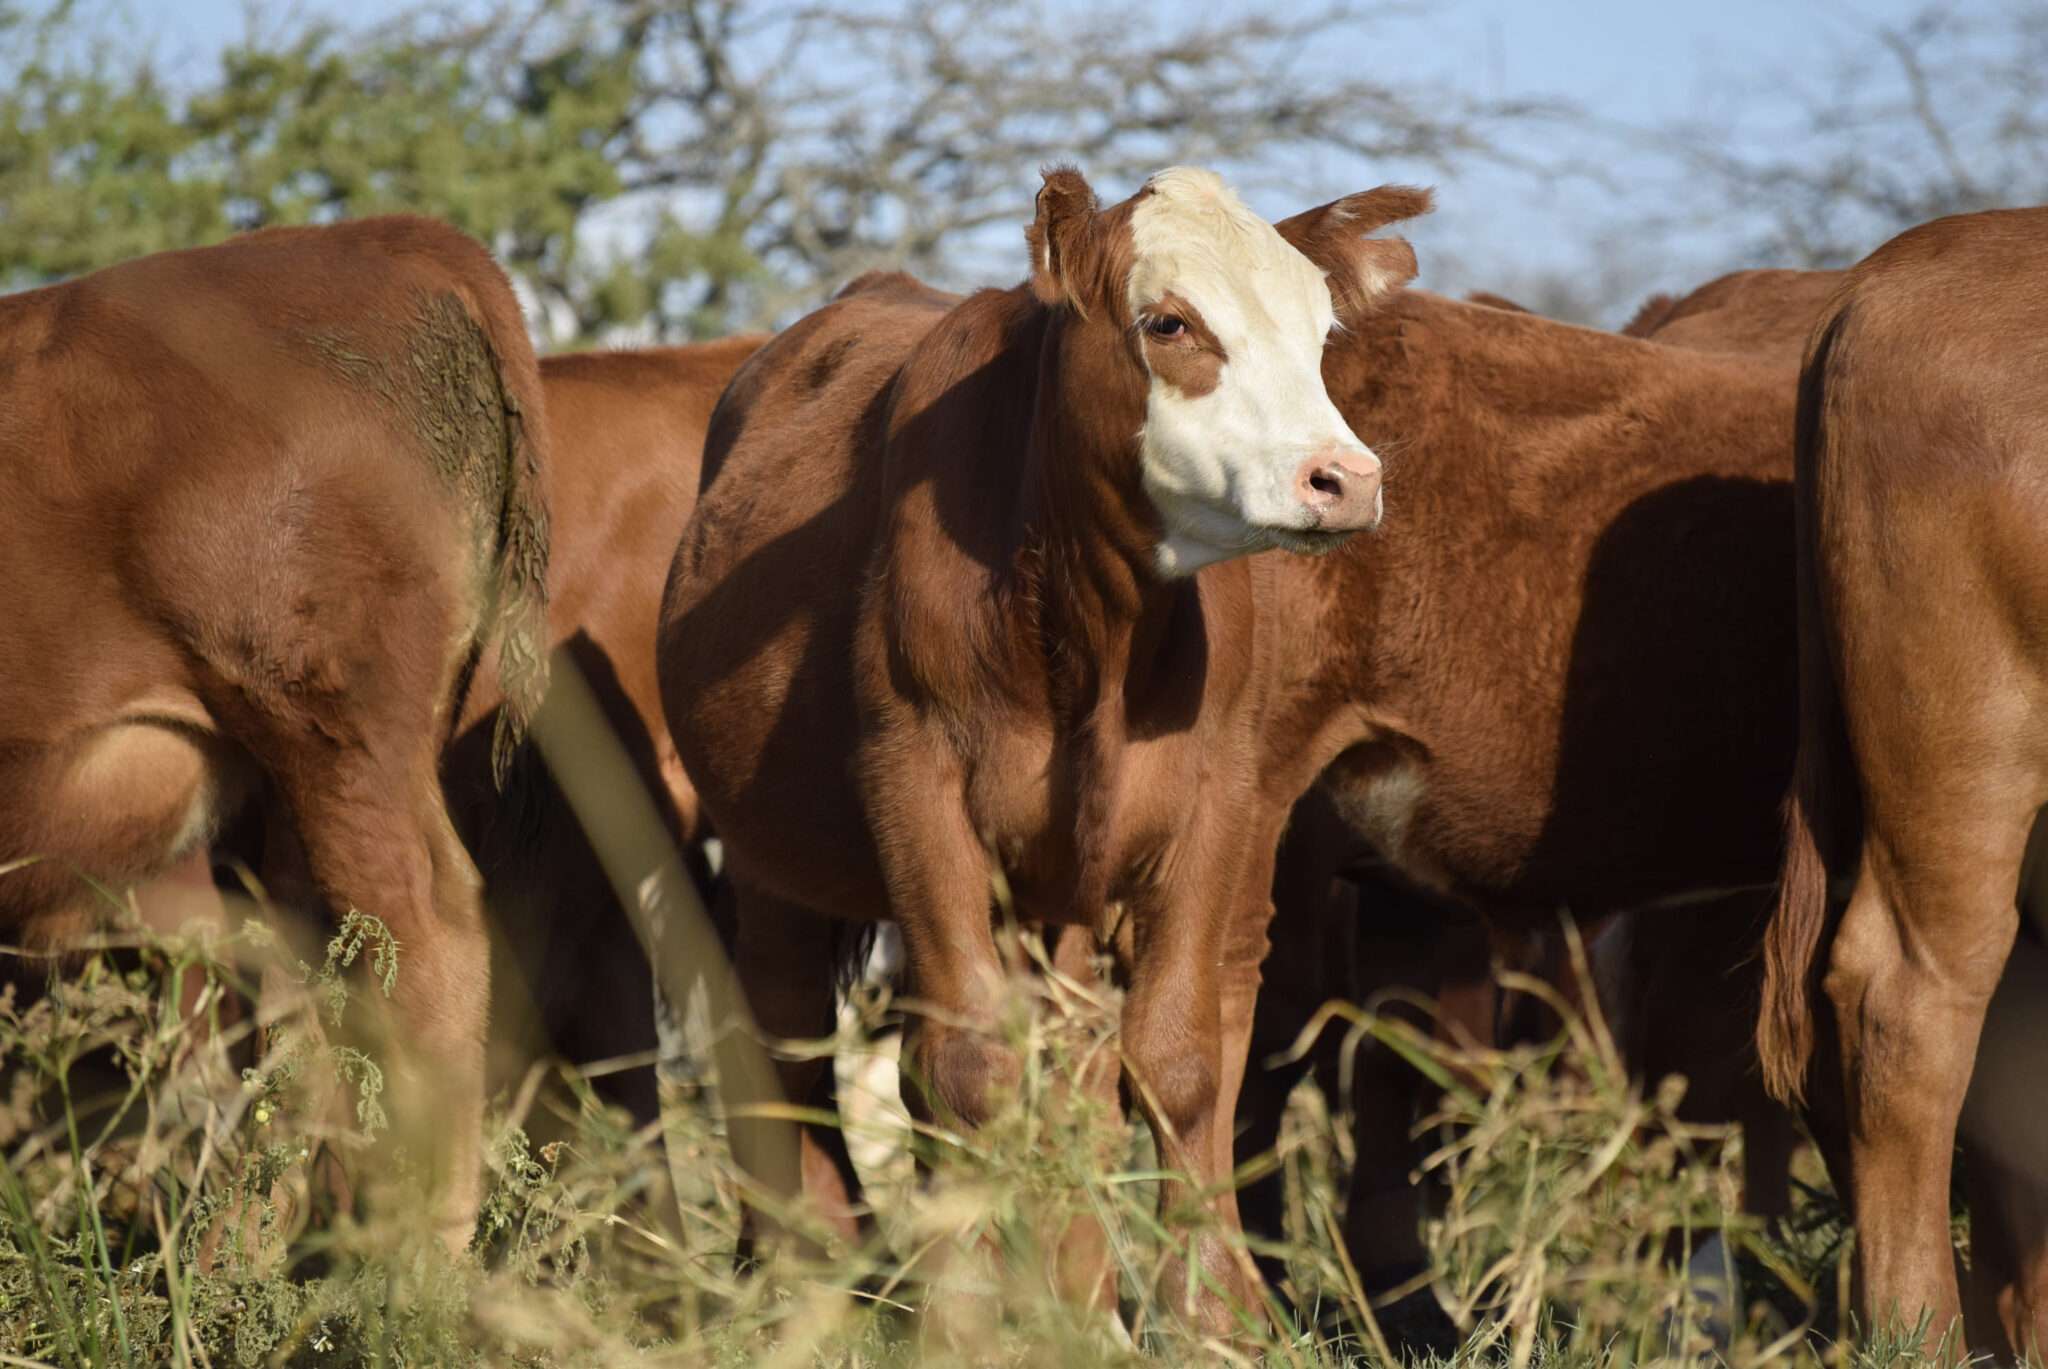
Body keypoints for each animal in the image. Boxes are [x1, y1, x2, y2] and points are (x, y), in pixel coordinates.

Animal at [0, 216, 550, 1251]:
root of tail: (383, 240)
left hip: (333, 733)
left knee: (427, 939)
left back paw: (413, 1264)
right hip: (299, 783)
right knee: (311, 992)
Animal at [657, 165, 1430, 1328]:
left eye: (1321, 329)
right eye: (1169, 322)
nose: (1343, 476)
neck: (1096, 635)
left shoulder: (1214, 803)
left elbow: (1176, 1058)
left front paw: (1204, 1316)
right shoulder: (915, 785)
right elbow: (968, 1063)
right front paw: (964, 1313)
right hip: (770, 861)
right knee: (788, 1032)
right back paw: (807, 1270)